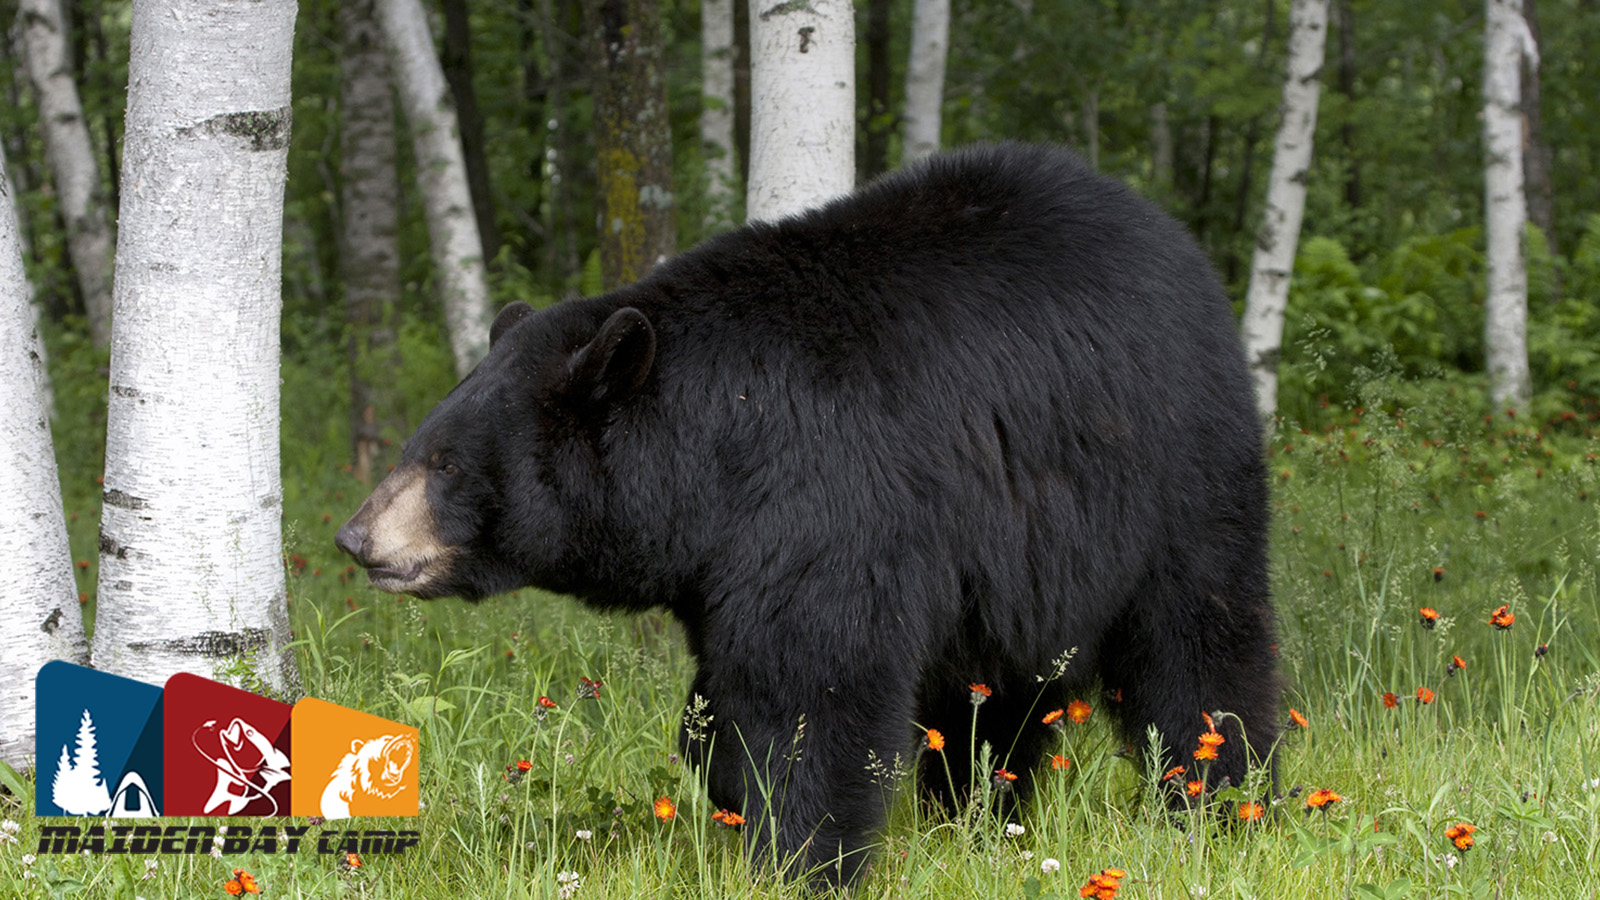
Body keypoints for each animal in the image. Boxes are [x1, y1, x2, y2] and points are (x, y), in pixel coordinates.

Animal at [335, 142, 1279, 886]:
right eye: (422, 443)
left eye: (447, 463)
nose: (356, 536)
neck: (716, 446)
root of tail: (1178, 246)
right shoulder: (723, 557)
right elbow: (725, 693)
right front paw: (725, 781)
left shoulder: (825, 504)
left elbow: (812, 692)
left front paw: (798, 857)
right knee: (993, 698)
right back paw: (978, 812)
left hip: (1173, 481)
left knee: (1200, 648)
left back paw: (1223, 801)